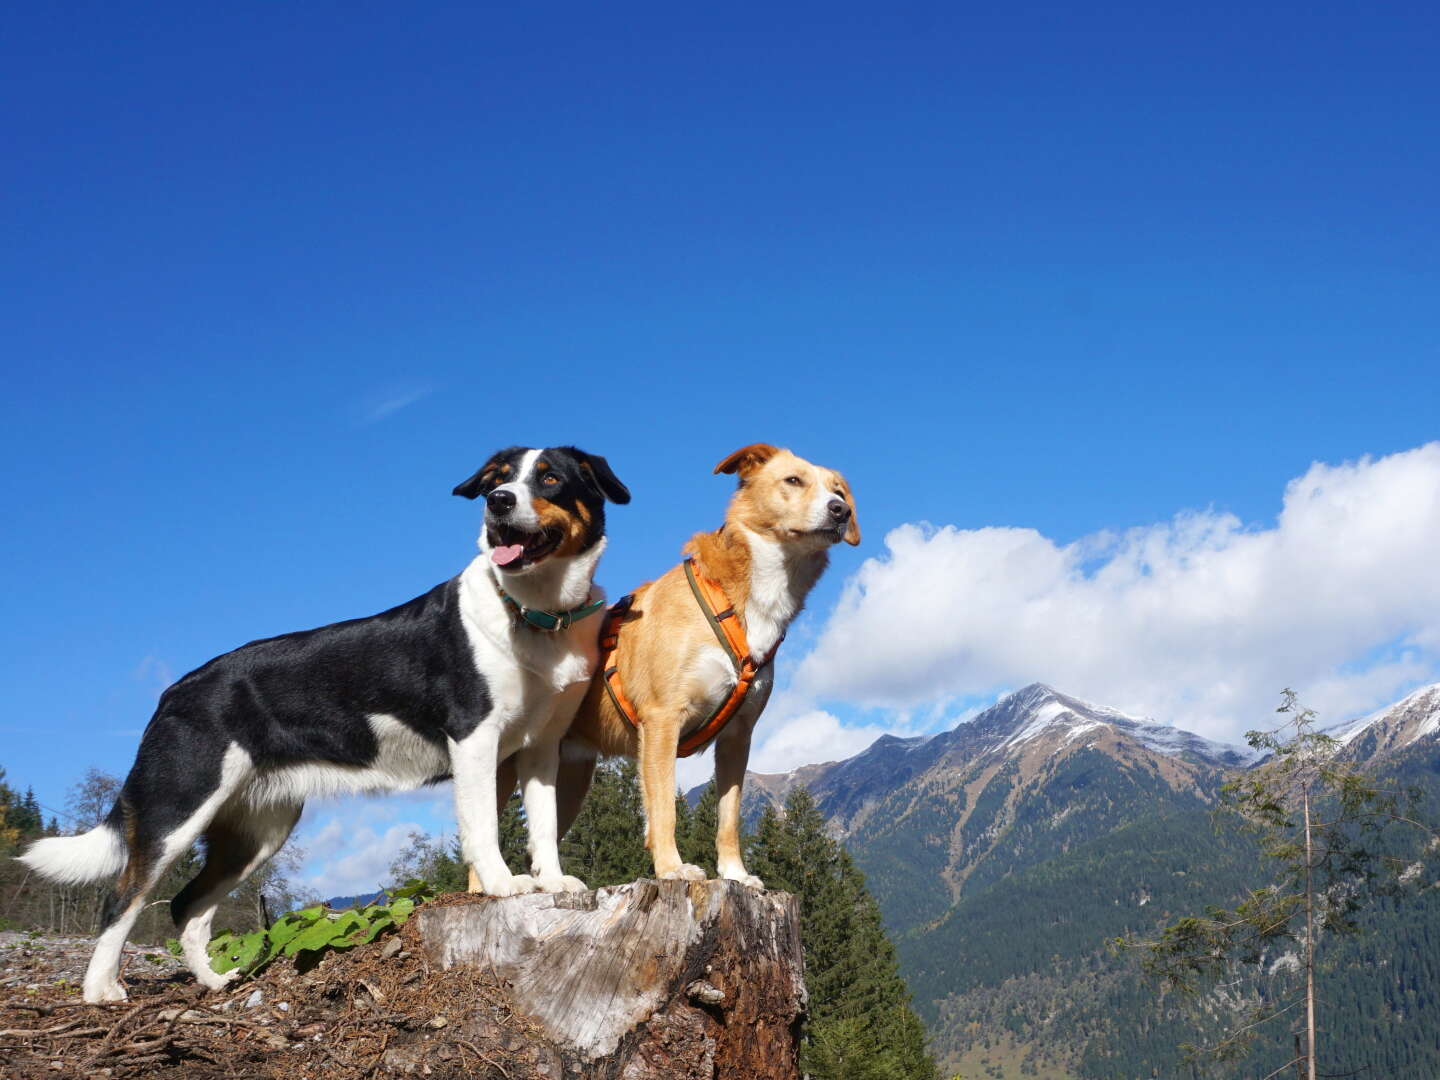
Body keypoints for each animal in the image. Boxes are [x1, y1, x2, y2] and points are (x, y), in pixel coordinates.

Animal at [16, 443, 624, 1002]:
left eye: (549, 478)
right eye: (498, 479)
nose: (498, 502)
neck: (532, 613)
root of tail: (176, 689)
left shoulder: (542, 748)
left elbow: (543, 824)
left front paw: (551, 881)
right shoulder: (474, 740)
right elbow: (484, 829)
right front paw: (502, 885)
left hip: (258, 831)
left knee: (189, 905)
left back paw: (216, 982)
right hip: (177, 809)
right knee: (123, 898)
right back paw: (101, 989)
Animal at [541, 440, 852, 887]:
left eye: (838, 491)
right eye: (794, 480)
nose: (840, 511)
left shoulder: (738, 737)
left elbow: (729, 817)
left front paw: (736, 873)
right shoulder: (661, 721)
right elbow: (663, 810)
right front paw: (671, 868)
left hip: (571, 779)